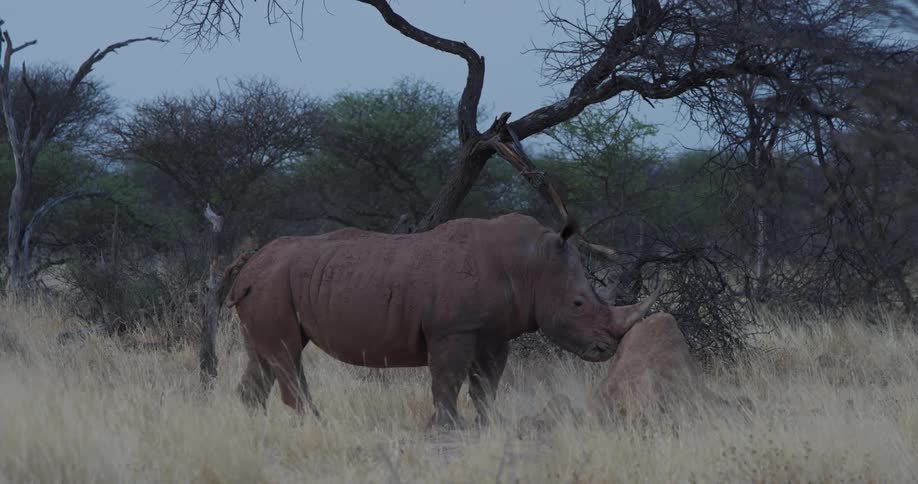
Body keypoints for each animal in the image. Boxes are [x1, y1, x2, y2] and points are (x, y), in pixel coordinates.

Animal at [224, 213, 659, 427]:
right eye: (578, 304)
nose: (606, 349)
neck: (530, 265)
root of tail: (248, 268)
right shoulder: (453, 328)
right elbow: (448, 376)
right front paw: (448, 426)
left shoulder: (493, 332)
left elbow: (486, 381)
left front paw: (489, 423)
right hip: (271, 284)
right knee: (285, 353)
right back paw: (317, 423)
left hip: (265, 284)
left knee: (263, 356)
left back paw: (251, 424)